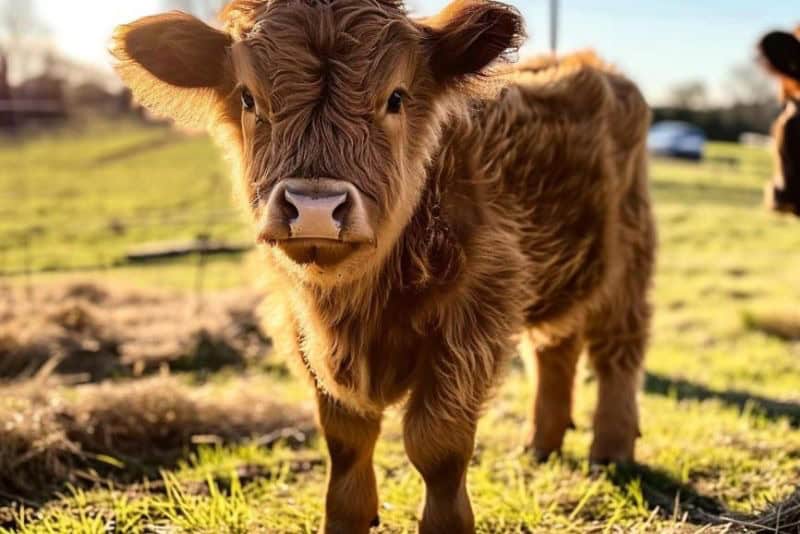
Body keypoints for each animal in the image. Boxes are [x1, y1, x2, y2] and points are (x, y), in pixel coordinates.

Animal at [113, 1, 655, 532]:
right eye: (248, 99)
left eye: (395, 98)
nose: (314, 207)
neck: (357, 306)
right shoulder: (304, 327)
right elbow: (346, 440)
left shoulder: (474, 315)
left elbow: (437, 445)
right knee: (556, 348)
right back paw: (541, 445)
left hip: (629, 261)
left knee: (617, 355)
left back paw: (611, 451)